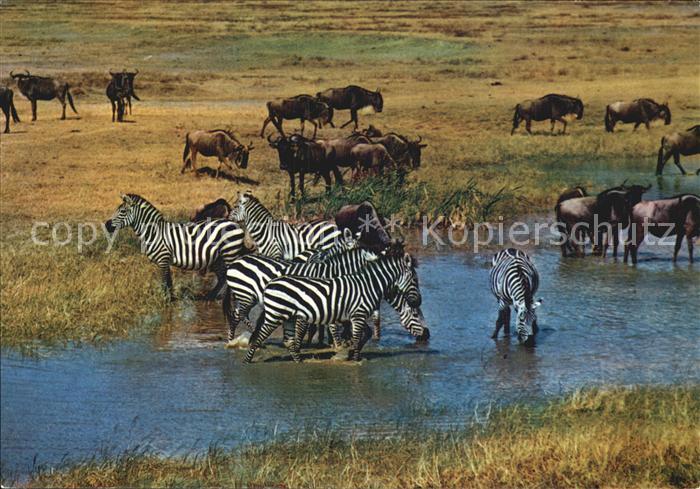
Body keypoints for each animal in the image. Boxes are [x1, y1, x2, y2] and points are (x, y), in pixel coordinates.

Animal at [105, 194, 247, 299]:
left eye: (123, 211)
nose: (106, 225)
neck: (154, 232)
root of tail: (232, 223)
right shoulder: (165, 261)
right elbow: (169, 283)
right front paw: (170, 300)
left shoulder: (163, 259)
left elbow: (164, 282)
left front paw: (163, 301)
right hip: (217, 258)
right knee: (222, 276)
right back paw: (210, 296)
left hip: (230, 253)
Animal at [243, 251, 422, 363]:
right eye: (415, 279)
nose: (418, 302)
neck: (368, 285)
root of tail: (269, 284)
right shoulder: (358, 315)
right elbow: (355, 338)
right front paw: (354, 360)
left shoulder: (353, 315)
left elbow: (365, 333)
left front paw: (351, 353)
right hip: (275, 314)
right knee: (259, 336)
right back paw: (247, 361)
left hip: (289, 316)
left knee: (288, 340)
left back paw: (300, 361)